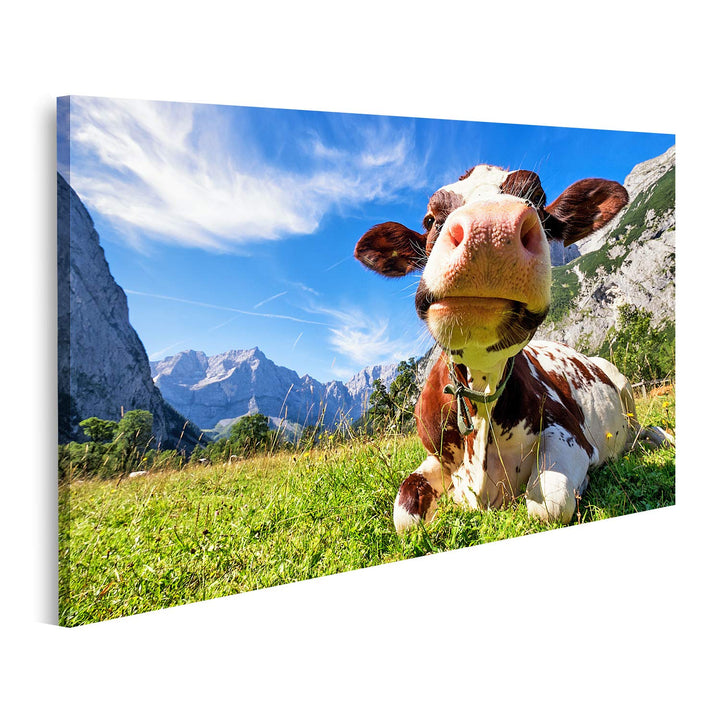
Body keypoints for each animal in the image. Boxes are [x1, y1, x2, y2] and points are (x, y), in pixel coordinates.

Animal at [355, 163, 669, 533]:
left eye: (538, 199)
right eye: (430, 219)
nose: (490, 228)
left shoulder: (572, 434)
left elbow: (549, 504)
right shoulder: (434, 457)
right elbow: (404, 514)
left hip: (623, 384)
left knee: (643, 430)